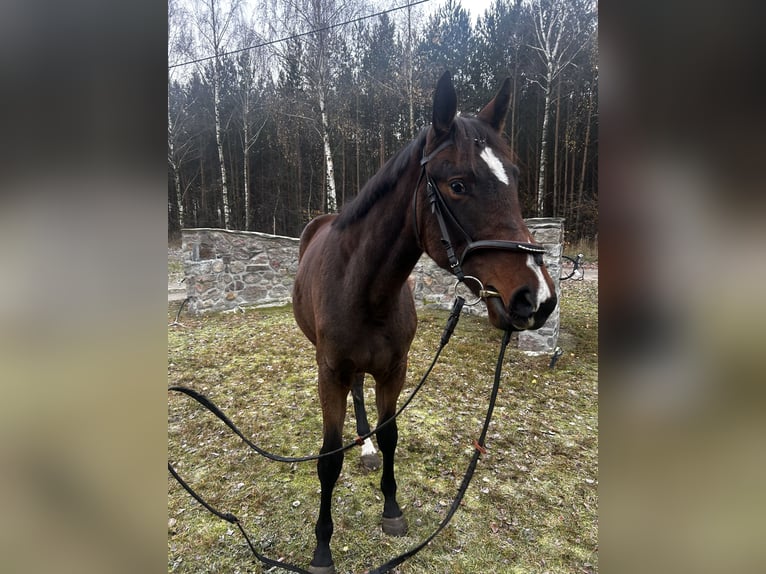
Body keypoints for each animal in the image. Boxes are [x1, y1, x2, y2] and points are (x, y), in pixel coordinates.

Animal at [292, 71, 557, 573]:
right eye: (457, 185)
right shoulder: (329, 372)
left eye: (513, 178)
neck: (364, 289)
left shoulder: (395, 369)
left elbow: (391, 434)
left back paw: (367, 449)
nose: (538, 298)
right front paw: (321, 549)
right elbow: (328, 459)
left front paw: (392, 510)